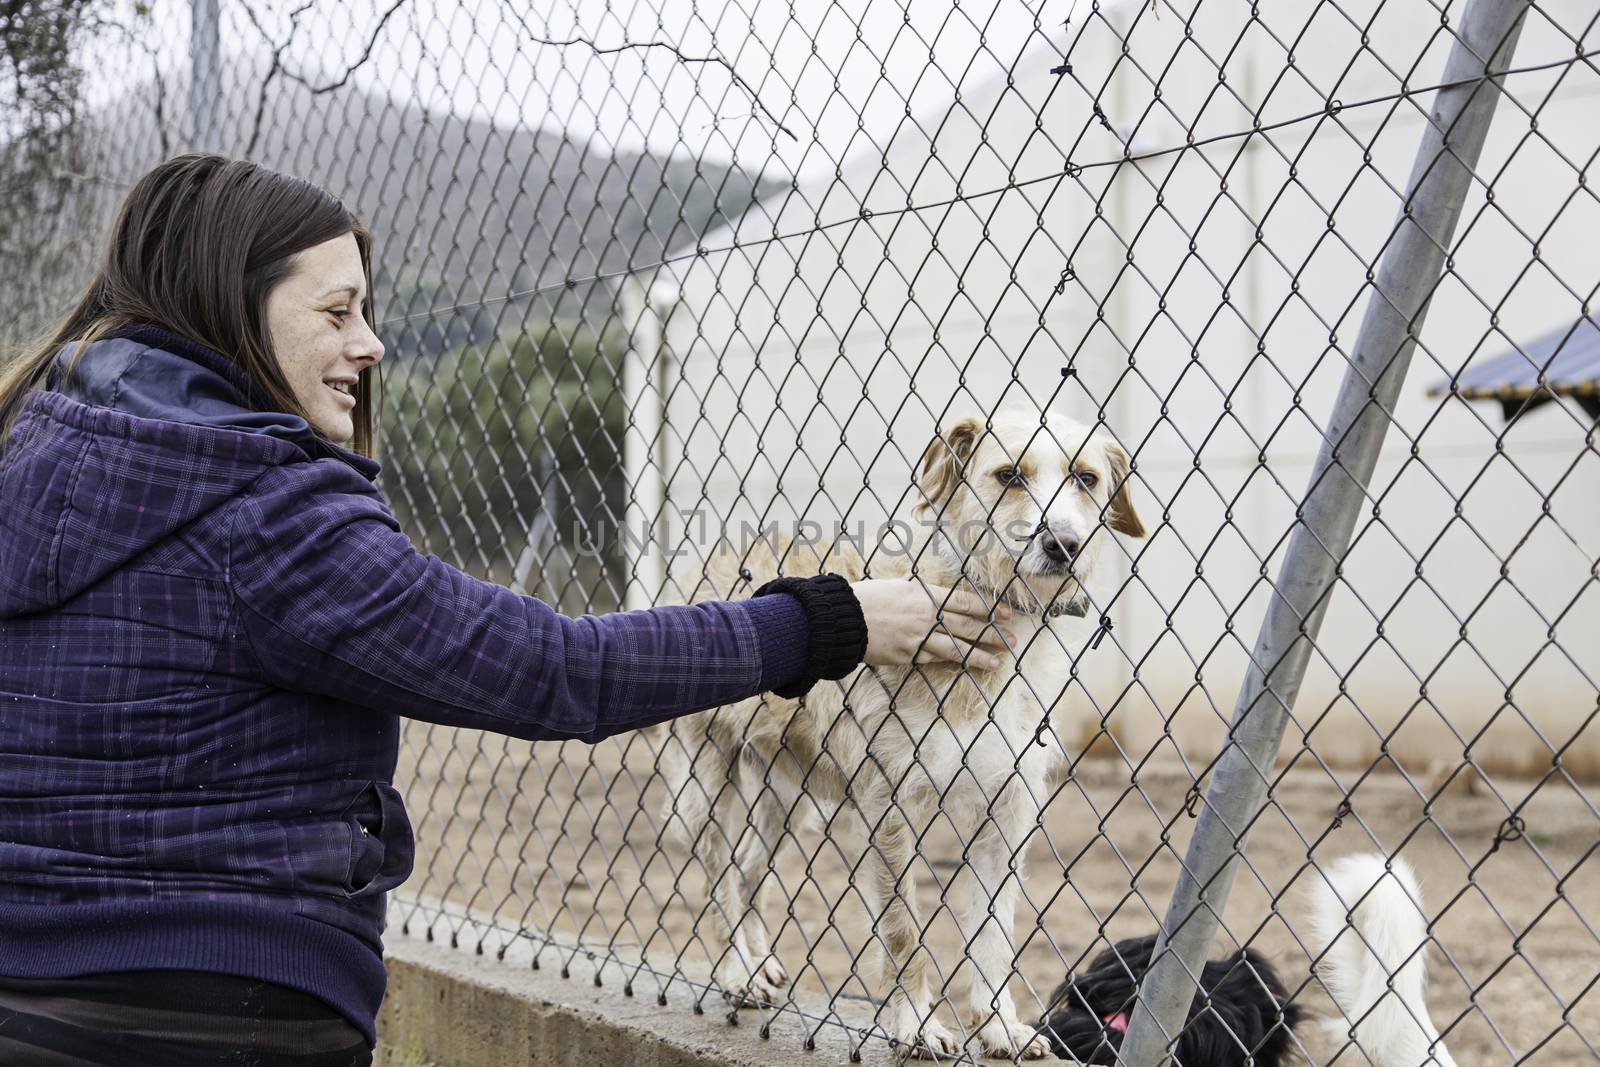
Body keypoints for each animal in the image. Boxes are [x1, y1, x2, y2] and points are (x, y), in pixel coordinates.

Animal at [656, 409, 1145, 1062]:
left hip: (787, 799)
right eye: (1010, 475)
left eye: (1086, 479)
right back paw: (738, 971)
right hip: (707, 782)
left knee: (748, 868)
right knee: (719, 877)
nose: (1063, 544)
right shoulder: (887, 809)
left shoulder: (1008, 810)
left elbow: (995, 933)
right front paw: (916, 1024)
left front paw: (997, 1026)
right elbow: (902, 930)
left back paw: (759, 964)